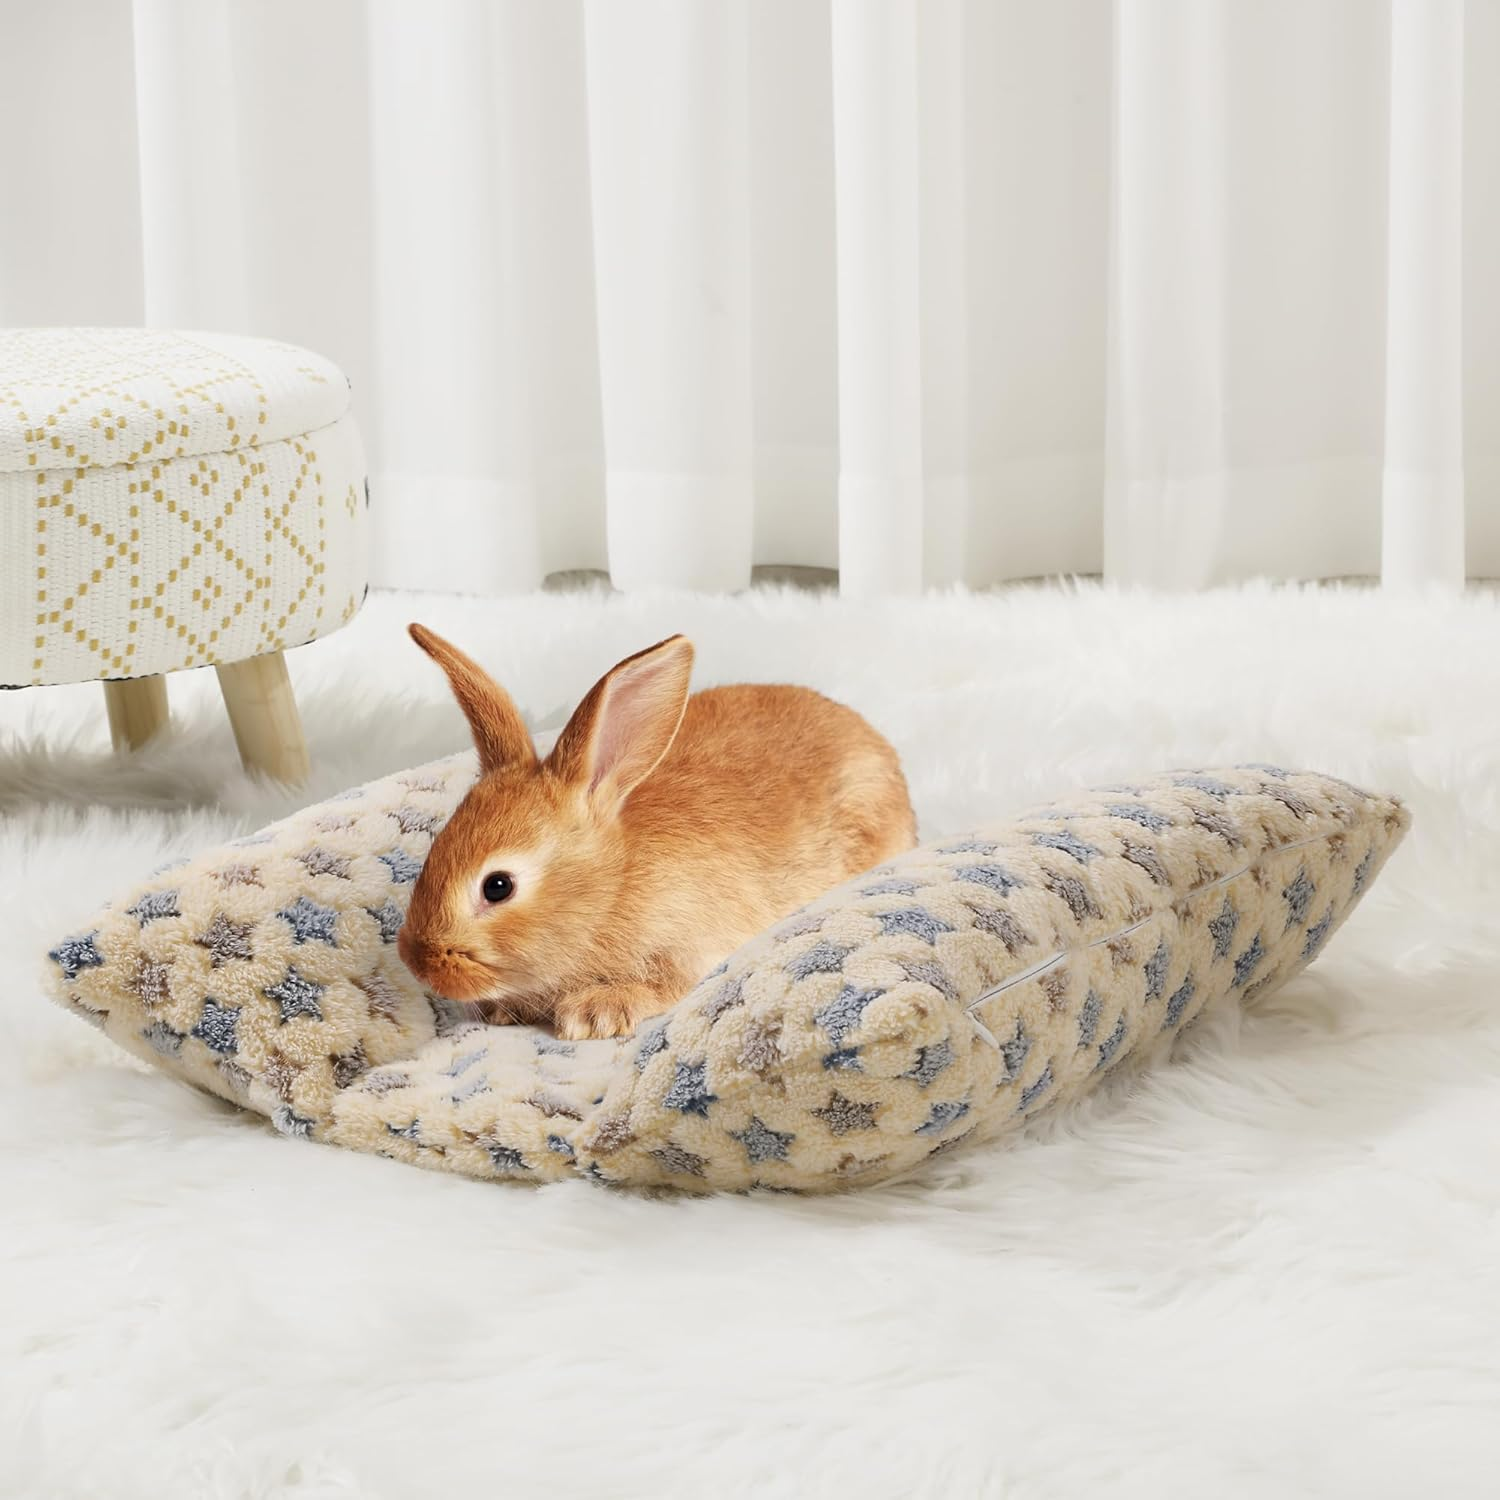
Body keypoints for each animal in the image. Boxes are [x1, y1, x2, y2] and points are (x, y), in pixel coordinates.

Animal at [396, 625, 917, 1040]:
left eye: (498, 886)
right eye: (433, 850)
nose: (417, 962)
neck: (612, 887)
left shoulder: (686, 950)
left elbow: (662, 988)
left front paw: (595, 1012)